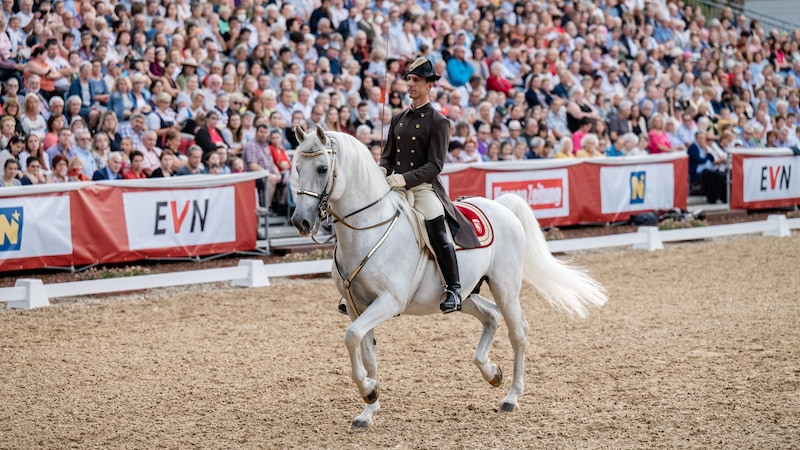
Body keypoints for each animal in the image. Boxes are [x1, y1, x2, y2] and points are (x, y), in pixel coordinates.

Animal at [290, 125, 608, 428]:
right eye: (296, 168)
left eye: (322, 169)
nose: (300, 221)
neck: (368, 228)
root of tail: (502, 206)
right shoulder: (358, 307)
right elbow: (363, 349)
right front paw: (368, 407)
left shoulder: (388, 302)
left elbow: (352, 336)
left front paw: (369, 391)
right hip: (465, 294)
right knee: (491, 316)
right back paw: (492, 372)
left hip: (504, 287)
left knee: (518, 331)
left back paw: (511, 397)